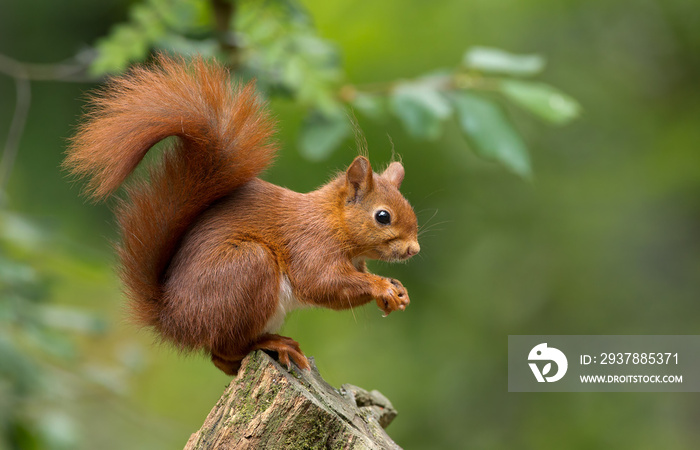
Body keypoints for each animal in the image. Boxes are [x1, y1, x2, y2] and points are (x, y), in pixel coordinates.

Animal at [63, 54, 418, 374]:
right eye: (383, 216)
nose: (414, 249)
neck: (333, 221)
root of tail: (174, 320)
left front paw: (397, 291)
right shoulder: (310, 244)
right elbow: (321, 282)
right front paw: (381, 286)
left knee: (221, 360)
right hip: (248, 268)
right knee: (224, 349)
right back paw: (272, 343)